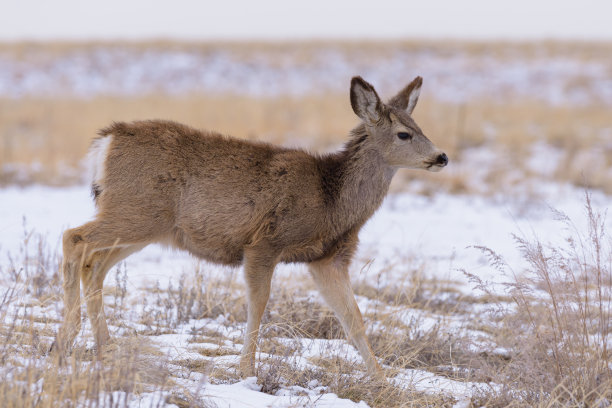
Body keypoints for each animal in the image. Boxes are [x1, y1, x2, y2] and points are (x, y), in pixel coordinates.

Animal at [56, 76, 450, 380]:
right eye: (403, 134)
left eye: (420, 128)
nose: (442, 156)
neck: (332, 199)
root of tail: (105, 142)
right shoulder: (265, 242)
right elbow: (258, 305)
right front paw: (247, 371)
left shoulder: (328, 259)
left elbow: (353, 318)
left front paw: (382, 379)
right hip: (135, 212)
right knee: (73, 238)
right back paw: (66, 338)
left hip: (145, 225)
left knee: (95, 263)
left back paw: (105, 345)